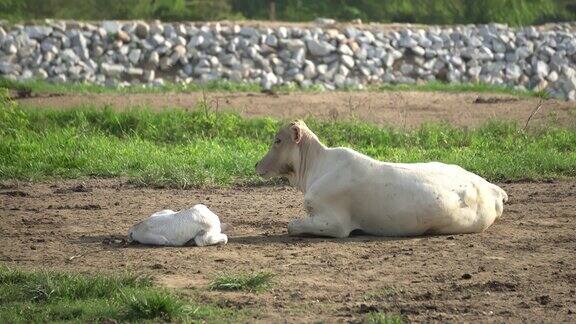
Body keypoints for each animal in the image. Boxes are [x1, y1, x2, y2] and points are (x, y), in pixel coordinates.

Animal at [254, 120, 506, 237]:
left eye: (277, 140)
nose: (256, 164)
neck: (317, 167)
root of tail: (491, 187)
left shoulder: (335, 223)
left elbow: (292, 225)